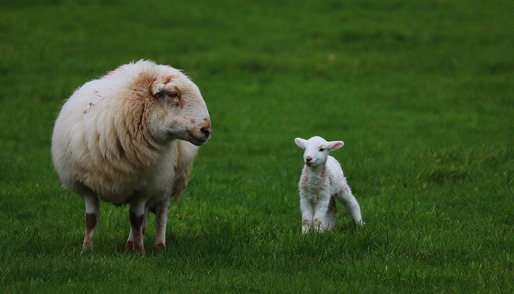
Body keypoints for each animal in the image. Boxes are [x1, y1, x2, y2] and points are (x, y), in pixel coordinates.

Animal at [51, 59, 211, 255]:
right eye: (173, 94)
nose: (206, 130)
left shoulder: (143, 187)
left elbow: (136, 219)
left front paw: (140, 252)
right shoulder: (87, 186)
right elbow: (91, 219)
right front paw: (86, 250)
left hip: (168, 180)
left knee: (162, 212)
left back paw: (158, 246)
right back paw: (129, 244)